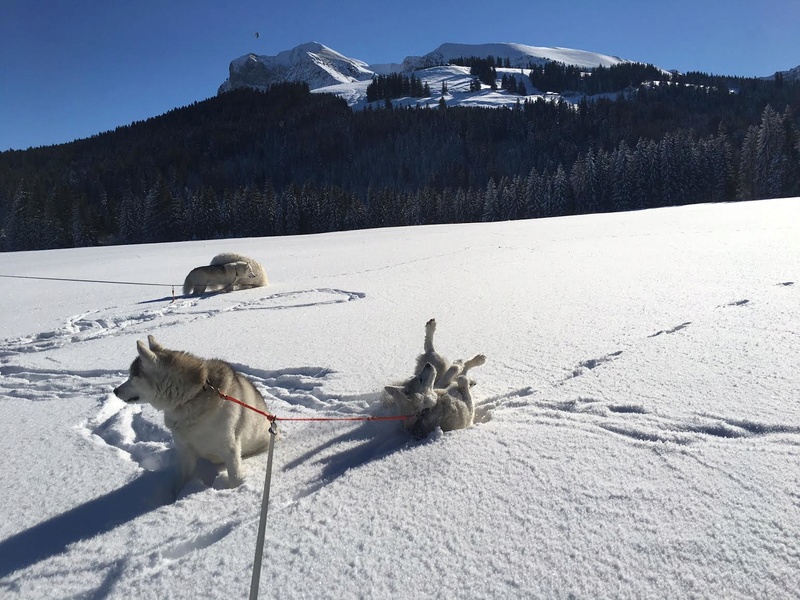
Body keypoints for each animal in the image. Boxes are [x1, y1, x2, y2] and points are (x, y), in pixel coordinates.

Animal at [113, 336, 272, 490]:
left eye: (132, 377)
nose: (115, 391)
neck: (193, 396)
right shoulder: (185, 451)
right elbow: (181, 482)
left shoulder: (230, 449)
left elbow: (235, 478)